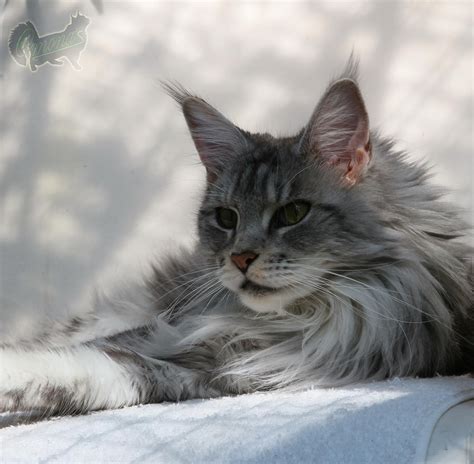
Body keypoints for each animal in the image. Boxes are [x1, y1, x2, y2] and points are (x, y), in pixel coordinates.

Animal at [0, 62, 474, 416]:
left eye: (293, 213)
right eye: (226, 218)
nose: (241, 258)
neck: (304, 319)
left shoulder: (223, 373)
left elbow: (96, 370)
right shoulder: (169, 332)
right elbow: (81, 355)